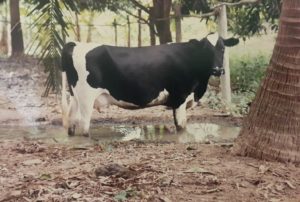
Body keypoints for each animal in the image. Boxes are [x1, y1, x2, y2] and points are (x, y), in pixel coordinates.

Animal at [61, 33, 239, 137]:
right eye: (206, 50)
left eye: (222, 49)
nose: (217, 70)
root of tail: (76, 44)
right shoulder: (180, 97)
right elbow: (181, 127)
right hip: (86, 98)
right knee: (84, 126)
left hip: (75, 97)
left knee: (71, 121)